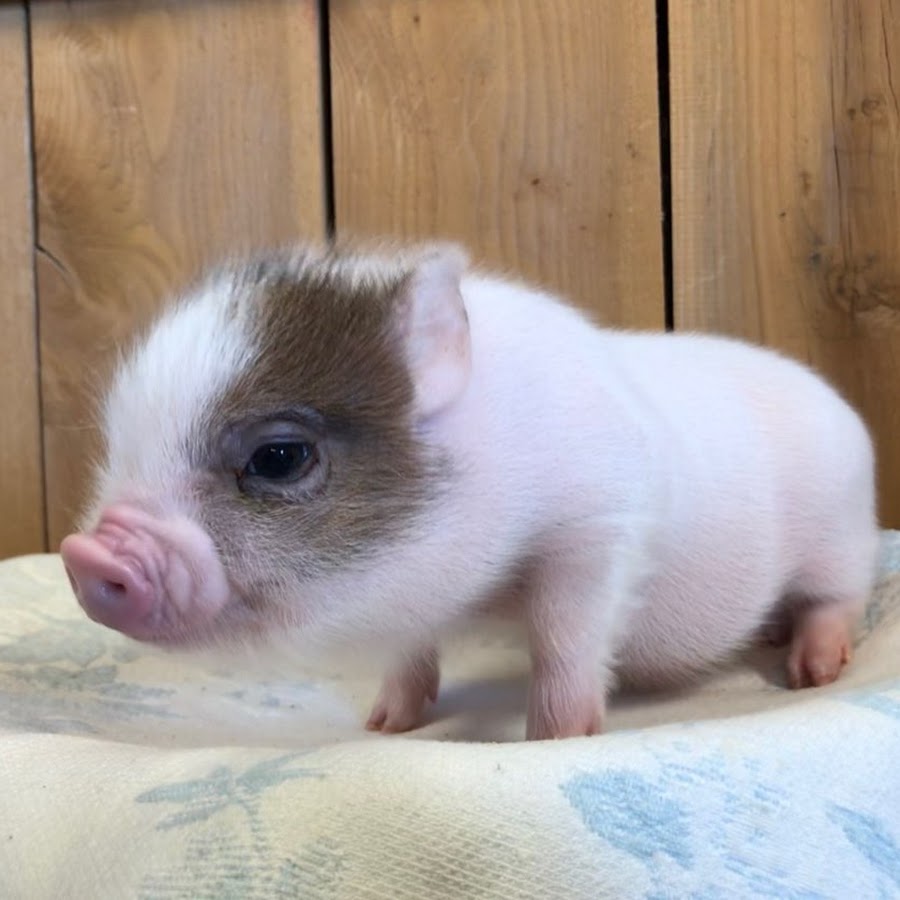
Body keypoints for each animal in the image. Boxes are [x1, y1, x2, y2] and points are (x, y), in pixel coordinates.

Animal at [60, 240, 880, 741]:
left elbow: (566, 638)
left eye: (280, 457)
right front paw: (383, 726)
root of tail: (843, 409)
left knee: (837, 599)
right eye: (119, 447)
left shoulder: (599, 526)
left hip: (842, 534)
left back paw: (809, 671)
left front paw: (554, 737)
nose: (84, 554)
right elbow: (410, 652)